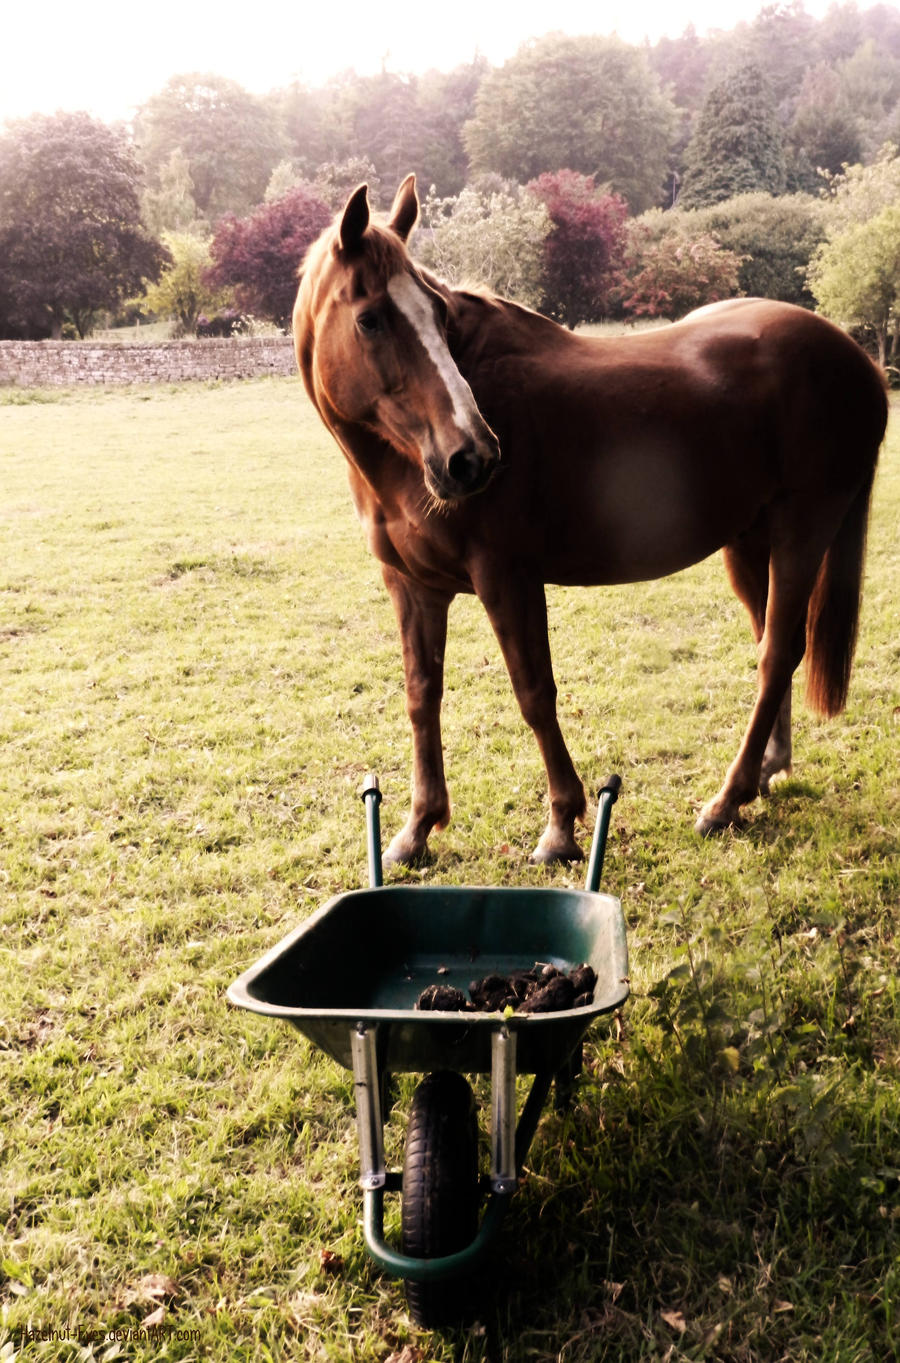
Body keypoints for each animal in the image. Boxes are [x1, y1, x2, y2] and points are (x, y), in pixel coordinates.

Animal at [295, 178, 883, 861]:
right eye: (369, 319)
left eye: (437, 314)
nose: (473, 458)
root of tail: (859, 360)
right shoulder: (412, 587)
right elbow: (422, 697)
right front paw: (416, 829)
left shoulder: (507, 579)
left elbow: (533, 693)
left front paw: (561, 825)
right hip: (749, 543)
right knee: (773, 645)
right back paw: (765, 772)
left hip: (801, 533)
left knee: (777, 653)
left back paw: (726, 801)